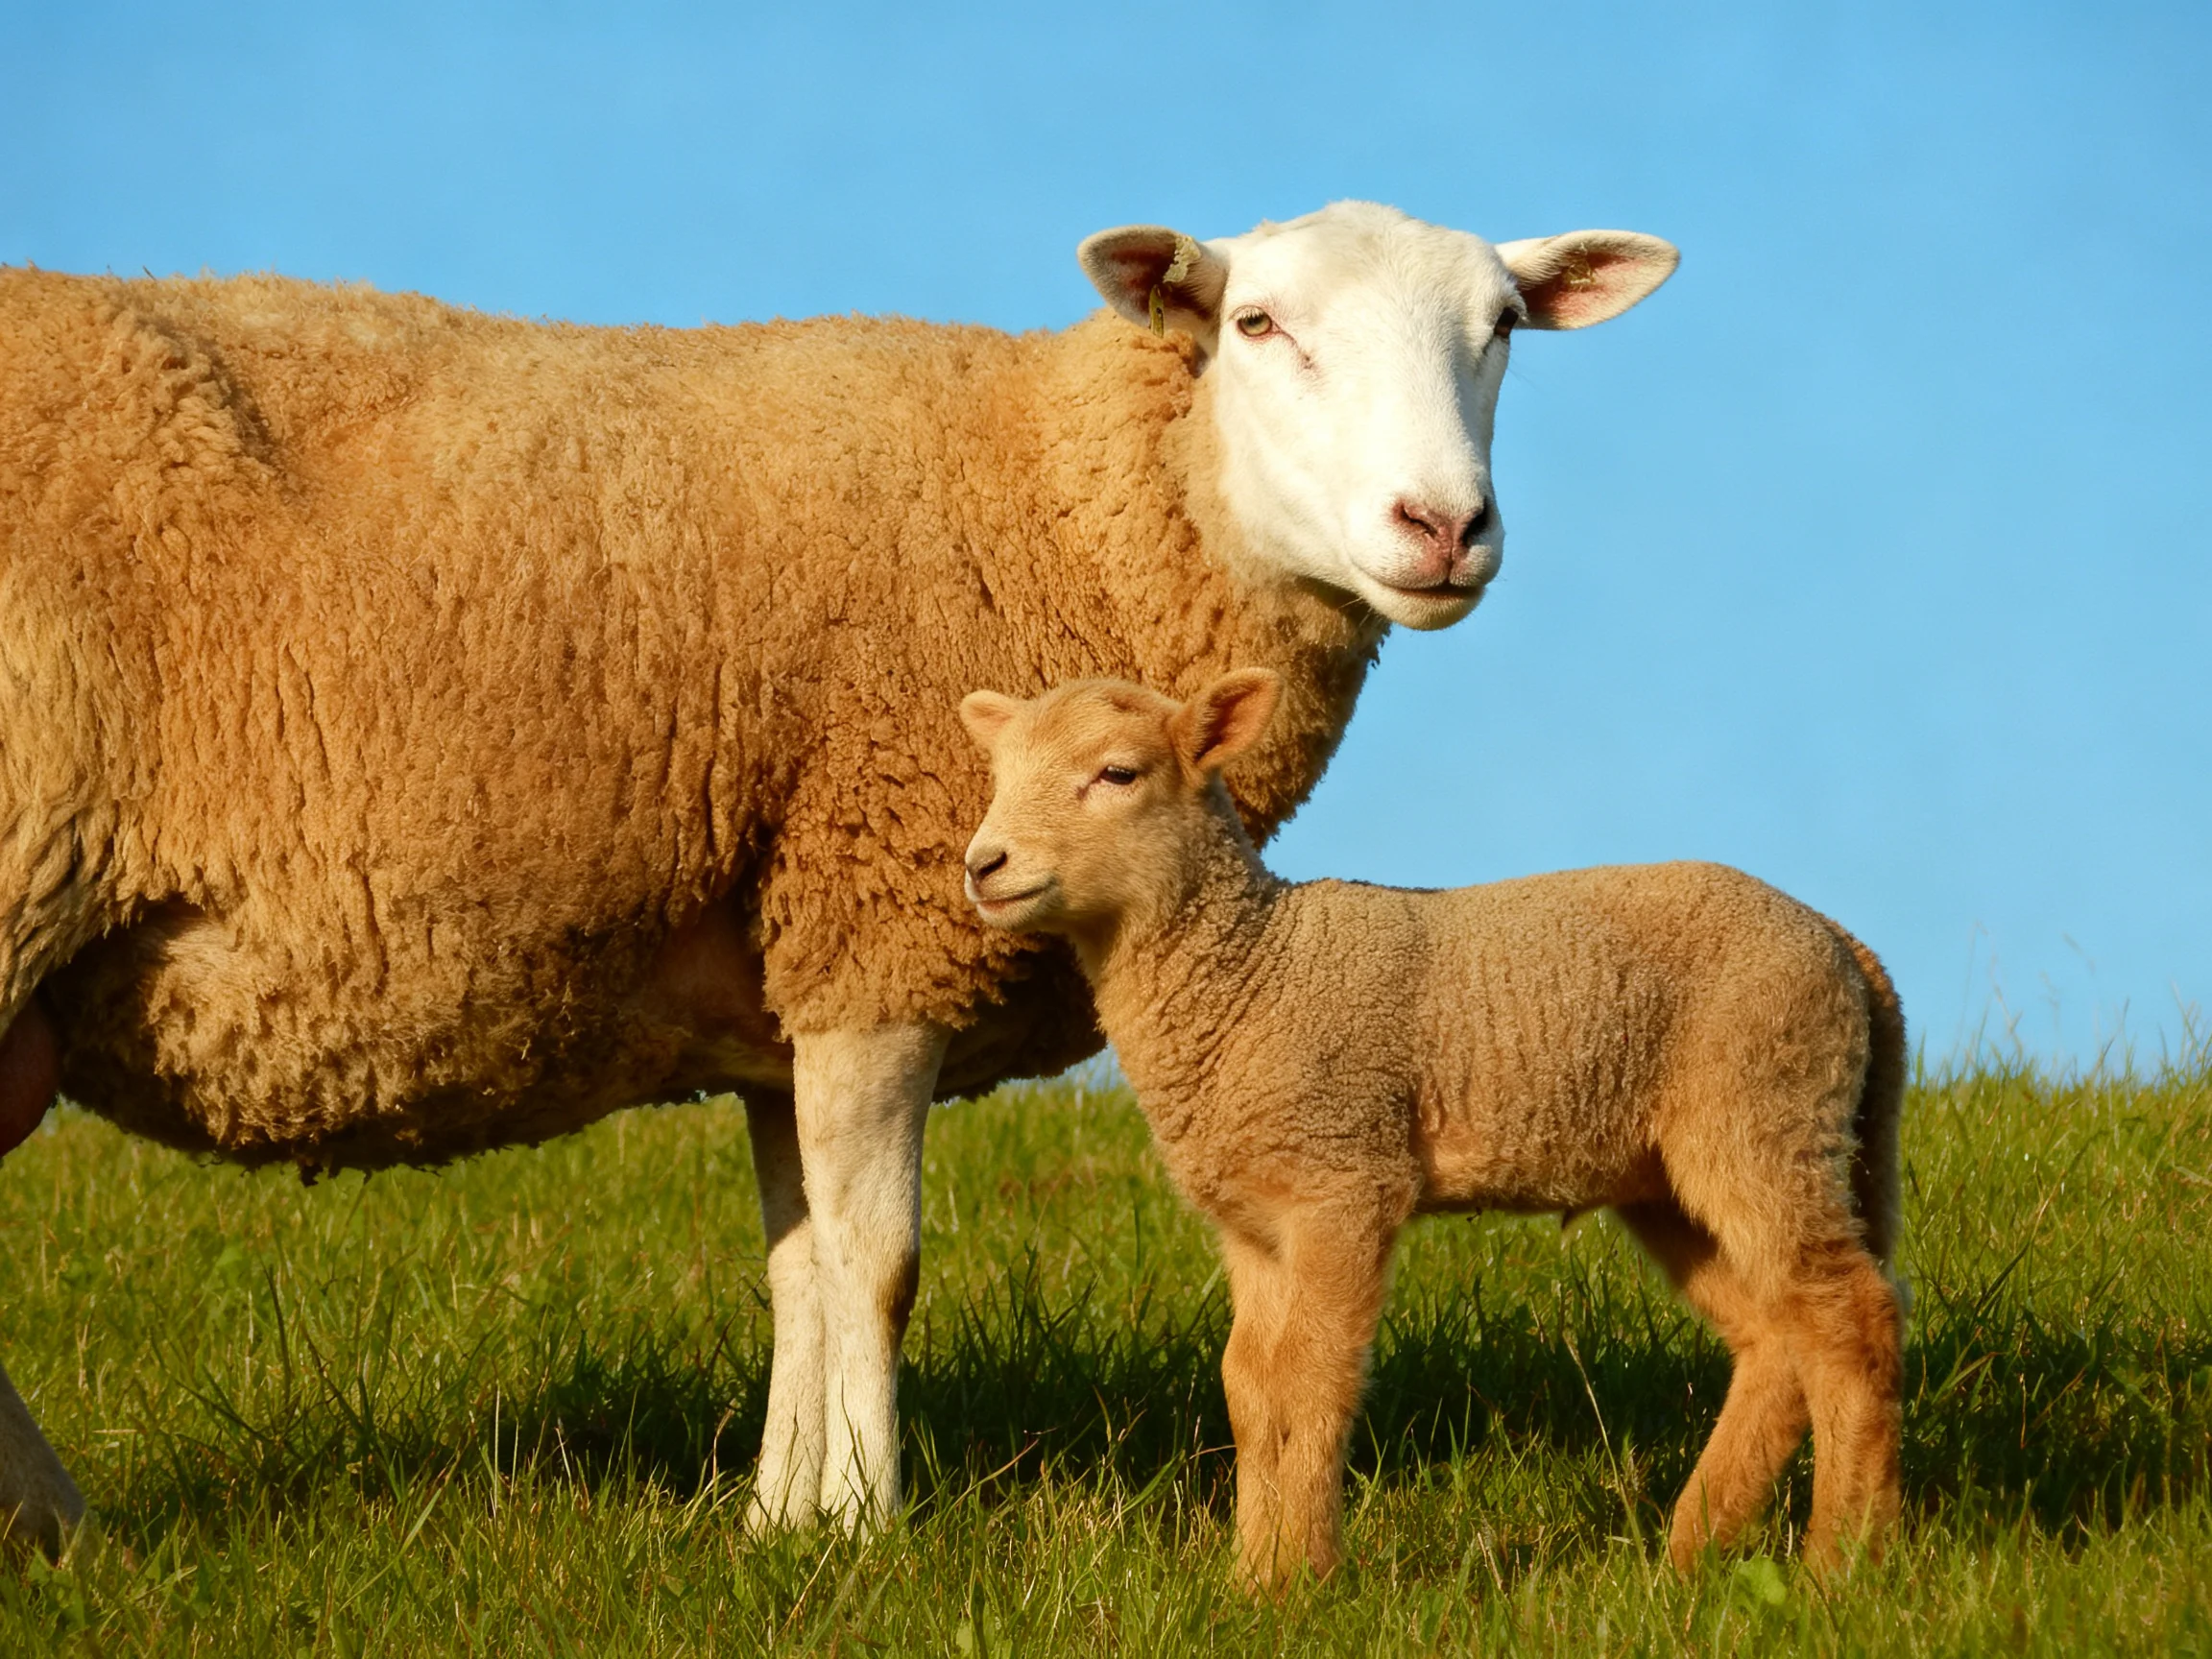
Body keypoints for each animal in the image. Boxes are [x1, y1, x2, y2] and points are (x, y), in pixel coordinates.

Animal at [0, 202, 1677, 1550]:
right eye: (1258, 324)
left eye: (1504, 328)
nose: (1443, 526)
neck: (1052, 495)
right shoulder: (884, 912)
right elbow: (880, 1265)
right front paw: (870, 1529)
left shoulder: (791, 969)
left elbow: (801, 1265)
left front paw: (780, 1524)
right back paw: (62, 1536)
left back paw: (62, 1540)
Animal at [958, 671, 1907, 1591]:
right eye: (998, 777)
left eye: (1118, 773)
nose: (982, 864)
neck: (1251, 976)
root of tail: (1844, 945)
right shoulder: (1256, 1220)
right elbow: (1251, 1386)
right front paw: (1247, 1580)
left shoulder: (1346, 1176)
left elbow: (1314, 1371)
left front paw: (1299, 1581)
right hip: (1676, 1174)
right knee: (1777, 1338)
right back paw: (1691, 1553)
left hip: (1763, 1109)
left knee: (1851, 1317)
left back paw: (1840, 1563)